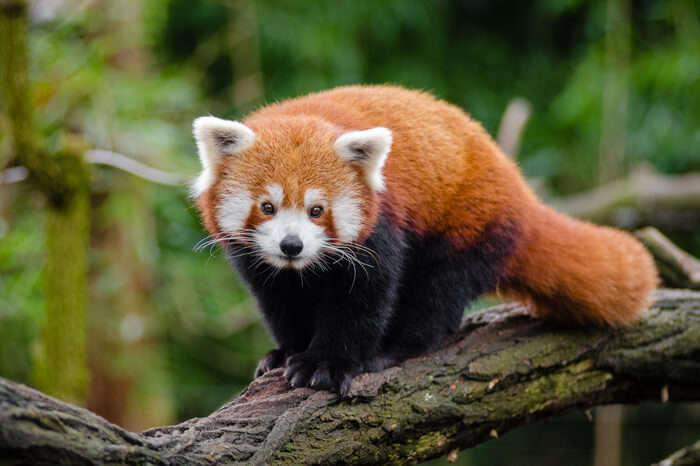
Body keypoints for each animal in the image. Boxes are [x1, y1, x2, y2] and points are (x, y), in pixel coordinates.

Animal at [193, 84, 660, 396]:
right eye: (267, 207)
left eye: (317, 210)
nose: (292, 246)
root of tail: (519, 192)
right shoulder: (261, 262)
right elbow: (280, 301)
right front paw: (285, 351)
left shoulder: (383, 228)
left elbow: (363, 299)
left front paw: (326, 363)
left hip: (466, 224)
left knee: (437, 294)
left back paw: (398, 348)